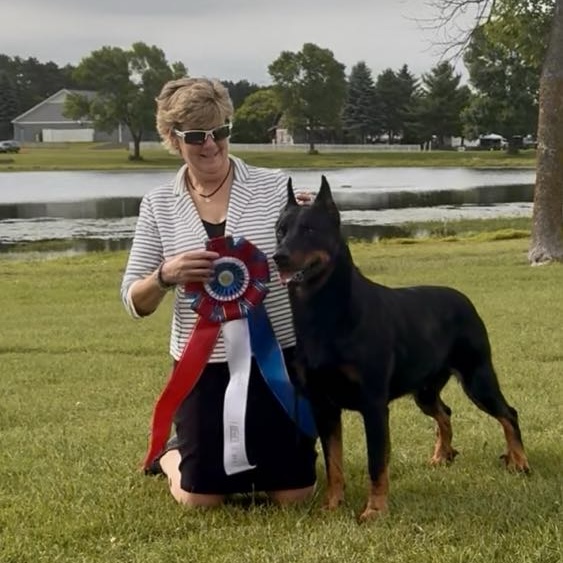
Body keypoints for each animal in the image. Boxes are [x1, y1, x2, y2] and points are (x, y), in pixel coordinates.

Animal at [273, 176, 530, 521]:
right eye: (280, 230)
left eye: (310, 229)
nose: (279, 256)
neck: (325, 315)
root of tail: (464, 300)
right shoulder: (322, 404)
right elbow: (333, 463)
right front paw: (332, 505)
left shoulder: (373, 404)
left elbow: (376, 463)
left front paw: (375, 509)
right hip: (424, 388)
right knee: (444, 412)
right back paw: (442, 455)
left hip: (477, 377)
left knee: (507, 413)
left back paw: (519, 461)